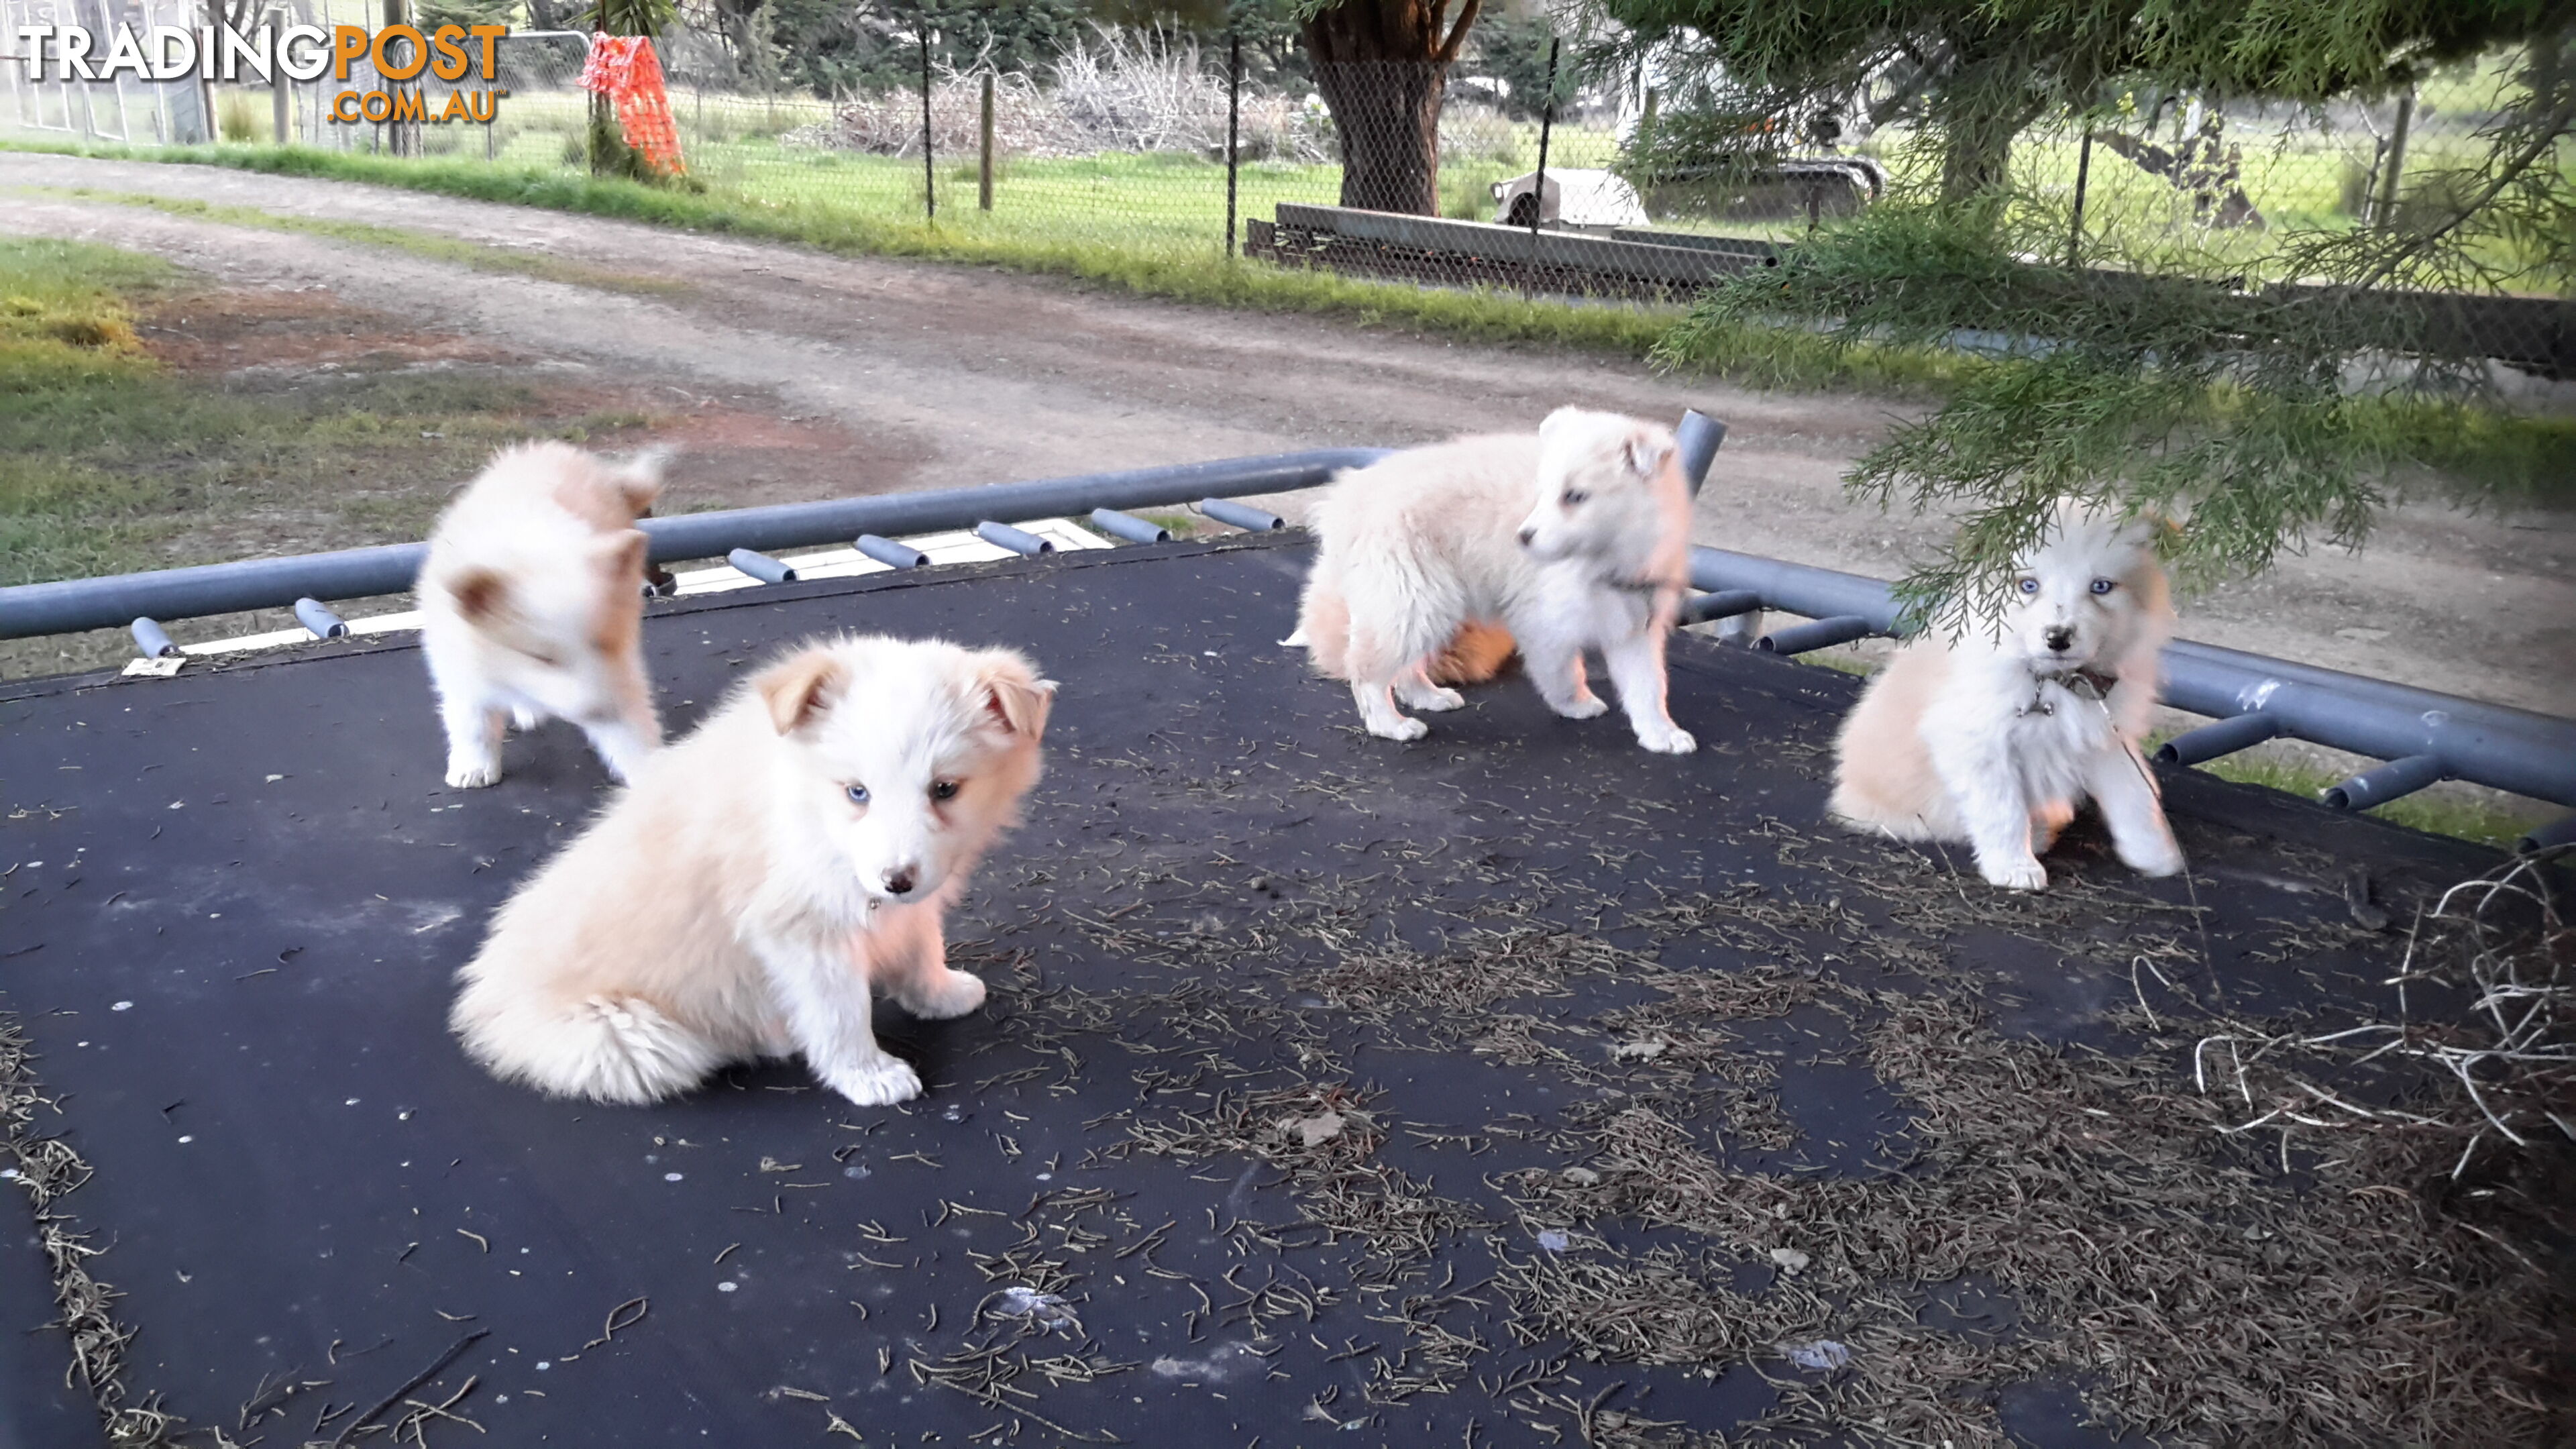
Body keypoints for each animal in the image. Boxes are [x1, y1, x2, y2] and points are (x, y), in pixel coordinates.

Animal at [448, 634, 1051, 1103]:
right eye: (858, 792)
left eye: (945, 789)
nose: (896, 881)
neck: (808, 809)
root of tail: (483, 997)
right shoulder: (803, 933)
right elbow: (841, 1012)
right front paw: (869, 1075)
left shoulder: (901, 902)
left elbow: (920, 945)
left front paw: (939, 995)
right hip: (630, 1037)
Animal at [1298, 402, 1700, 747]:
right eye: (1542, 493)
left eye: (1575, 496)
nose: (1522, 537)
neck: (1604, 556)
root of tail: (1346, 498)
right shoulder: (1543, 617)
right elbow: (1562, 669)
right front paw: (1576, 703)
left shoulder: (1636, 619)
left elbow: (1648, 685)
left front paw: (1662, 734)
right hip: (1414, 594)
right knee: (1368, 668)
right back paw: (1390, 724)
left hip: (1418, 600)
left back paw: (1427, 695)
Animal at [1823, 508, 2184, 892]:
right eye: (2028, 585)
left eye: (2100, 586)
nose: (2058, 638)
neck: (2053, 682)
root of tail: (1848, 791)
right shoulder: (1977, 742)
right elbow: (2002, 810)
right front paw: (2015, 867)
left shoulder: (2104, 735)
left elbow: (2136, 794)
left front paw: (2155, 853)